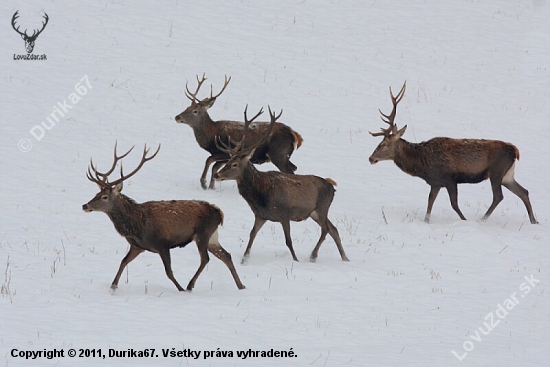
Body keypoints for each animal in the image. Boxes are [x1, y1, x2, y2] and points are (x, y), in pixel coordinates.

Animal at [82, 143, 246, 294]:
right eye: (96, 194)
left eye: (104, 197)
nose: (85, 205)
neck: (137, 225)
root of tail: (219, 213)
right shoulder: (138, 246)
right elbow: (123, 262)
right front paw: (113, 287)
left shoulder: (162, 244)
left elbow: (169, 272)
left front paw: (180, 289)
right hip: (212, 236)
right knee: (226, 255)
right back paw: (241, 285)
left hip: (203, 233)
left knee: (205, 259)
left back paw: (189, 285)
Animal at [175, 73, 304, 191]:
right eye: (187, 107)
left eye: (195, 111)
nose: (177, 117)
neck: (211, 135)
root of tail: (295, 135)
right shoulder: (226, 157)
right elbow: (214, 167)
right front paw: (211, 186)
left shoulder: (225, 152)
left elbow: (209, 160)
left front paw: (204, 183)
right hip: (284, 156)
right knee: (294, 168)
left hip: (278, 154)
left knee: (290, 171)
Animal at [212, 106, 350, 264]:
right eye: (227, 162)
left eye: (234, 164)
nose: (217, 175)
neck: (261, 195)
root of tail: (332, 187)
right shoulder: (260, 215)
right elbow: (252, 234)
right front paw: (244, 259)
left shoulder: (284, 213)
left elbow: (288, 241)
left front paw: (296, 260)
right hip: (314, 212)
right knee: (334, 229)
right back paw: (345, 258)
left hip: (322, 207)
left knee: (326, 229)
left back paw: (313, 255)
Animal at [370, 81, 540, 224]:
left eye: (383, 144)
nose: (371, 158)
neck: (422, 164)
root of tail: (515, 151)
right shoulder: (436, 182)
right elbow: (430, 202)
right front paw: (426, 221)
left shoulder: (449, 178)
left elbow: (454, 204)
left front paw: (464, 220)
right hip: (507, 175)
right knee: (524, 192)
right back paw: (534, 221)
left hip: (496, 171)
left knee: (498, 196)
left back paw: (482, 219)